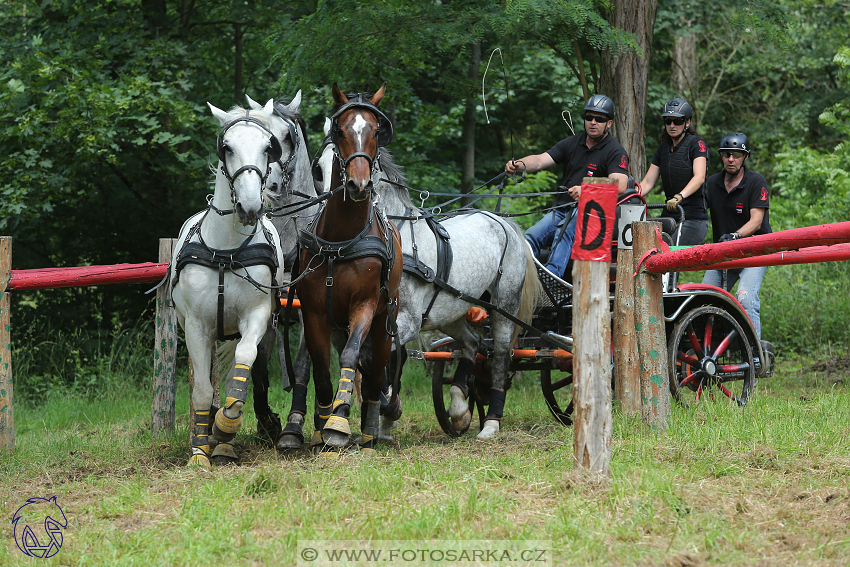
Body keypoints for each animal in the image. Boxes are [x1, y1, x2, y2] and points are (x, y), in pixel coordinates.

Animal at [172, 101, 284, 466]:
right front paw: (199, 450)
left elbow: (243, 364)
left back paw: (225, 441)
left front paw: (225, 427)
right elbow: (202, 390)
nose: (250, 207)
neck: (227, 251)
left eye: (267, 147)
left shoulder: (258, 315)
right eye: (228, 147)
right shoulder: (196, 326)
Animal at [294, 84, 400, 454]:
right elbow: (320, 370)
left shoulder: (364, 307)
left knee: (375, 373)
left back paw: (369, 432)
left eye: (376, 131)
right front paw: (322, 424)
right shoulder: (314, 313)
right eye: (340, 131)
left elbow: (353, 357)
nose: (358, 185)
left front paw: (338, 423)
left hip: (384, 324)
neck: (340, 241)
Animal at [312, 117, 536, 442]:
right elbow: (377, 361)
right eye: (318, 168)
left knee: (500, 356)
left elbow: (379, 359)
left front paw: (387, 410)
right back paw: (459, 407)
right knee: (472, 343)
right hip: (451, 311)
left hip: (504, 306)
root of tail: (502, 221)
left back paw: (491, 423)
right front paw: (384, 419)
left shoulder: (406, 320)